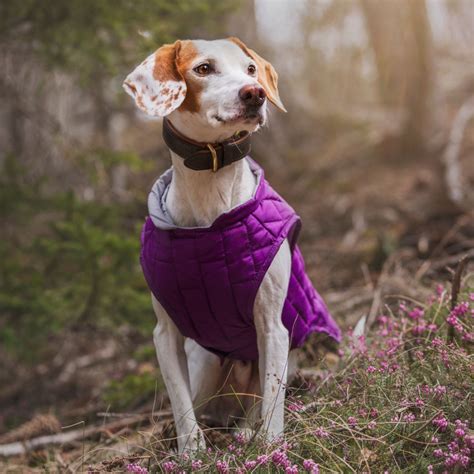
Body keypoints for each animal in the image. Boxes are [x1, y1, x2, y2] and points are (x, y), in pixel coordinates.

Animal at [123, 37, 340, 452]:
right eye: (203, 69)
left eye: (251, 69)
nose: (255, 93)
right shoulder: (165, 336)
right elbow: (180, 404)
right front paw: (190, 454)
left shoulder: (273, 327)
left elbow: (272, 398)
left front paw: (270, 448)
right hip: (207, 364)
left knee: (259, 401)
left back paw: (245, 431)